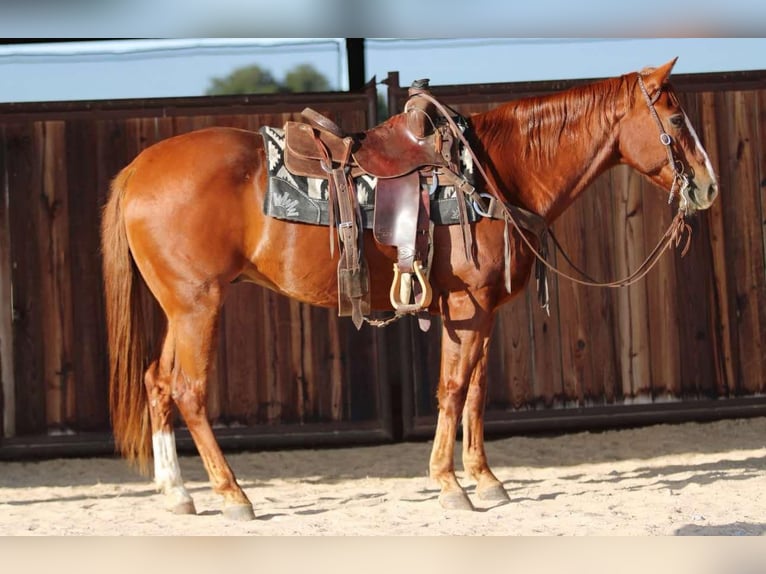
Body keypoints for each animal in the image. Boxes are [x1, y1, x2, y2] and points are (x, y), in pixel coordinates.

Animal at [100, 58, 718, 521]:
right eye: (676, 118)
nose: (709, 186)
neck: (492, 175)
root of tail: (139, 168)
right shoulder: (467, 306)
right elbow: (452, 389)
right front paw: (449, 485)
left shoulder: (484, 311)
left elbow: (476, 391)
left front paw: (486, 479)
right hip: (198, 304)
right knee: (189, 391)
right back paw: (232, 495)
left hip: (180, 308)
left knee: (157, 382)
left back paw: (178, 493)